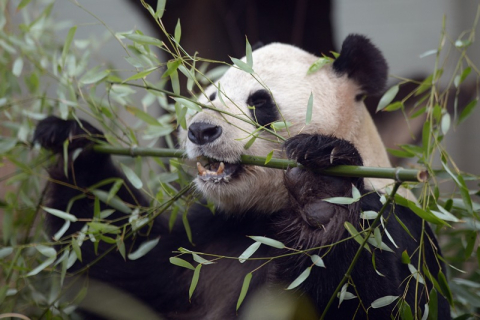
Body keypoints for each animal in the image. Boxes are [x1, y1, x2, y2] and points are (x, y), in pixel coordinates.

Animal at [34, 33, 450, 318]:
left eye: (259, 102)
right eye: (211, 97)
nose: (200, 131)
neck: (266, 216)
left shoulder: (400, 234)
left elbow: (371, 300)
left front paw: (323, 193)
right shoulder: (207, 242)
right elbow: (121, 270)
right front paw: (71, 142)